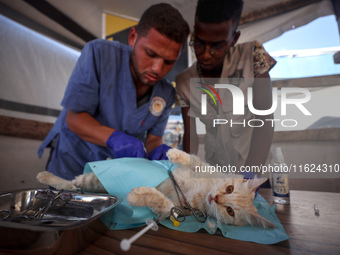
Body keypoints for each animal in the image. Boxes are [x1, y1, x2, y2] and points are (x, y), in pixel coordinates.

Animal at [37, 148, 274, 228]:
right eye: (229, 189)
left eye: (230, 211)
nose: (215, 199)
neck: (202, 191)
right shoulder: (204, 168)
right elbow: (194, 159)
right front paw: (173, 153)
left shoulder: (178, 209)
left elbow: (163, 203)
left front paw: (137, 195)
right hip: (92, 178)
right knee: (72, 182)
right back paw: (45, 175)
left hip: (92, 183)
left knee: (73, 184)